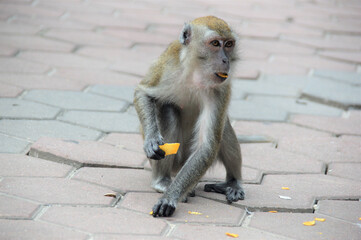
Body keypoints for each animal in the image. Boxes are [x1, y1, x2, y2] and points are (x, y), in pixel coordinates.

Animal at [134, 15, 243, 217]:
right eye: (215, 43)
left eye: (229, 44)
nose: (226, 60)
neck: (196, 75)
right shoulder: (168, 65)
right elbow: (143, 93)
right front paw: (151, 140)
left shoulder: (221, 89)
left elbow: (207, 146)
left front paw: (170, 197)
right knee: (167, 109)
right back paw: (161, 181)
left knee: (223, 127)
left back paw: (232, 182)